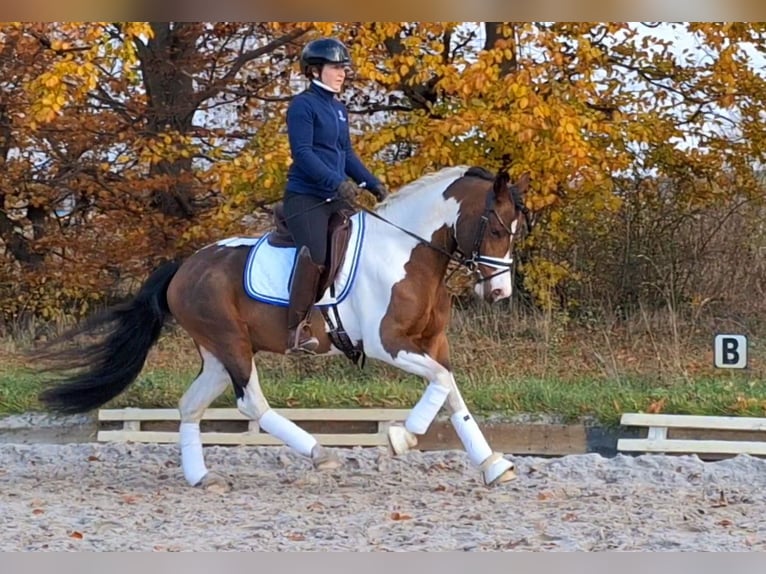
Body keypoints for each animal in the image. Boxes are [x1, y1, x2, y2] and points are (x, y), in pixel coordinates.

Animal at [31, 164, 536, 492]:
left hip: (217, 354)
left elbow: (450, 392)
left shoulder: (433, 342)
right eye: (495, 228)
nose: (499, 292)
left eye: (514, 231)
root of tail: (184, 267)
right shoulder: (388, 345)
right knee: (252, 404)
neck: (408, 253)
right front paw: (400, 436)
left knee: (191, 405)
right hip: (232, 343)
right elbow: (441, 384)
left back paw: (202, 477)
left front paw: (492, 465)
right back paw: (319, 453)